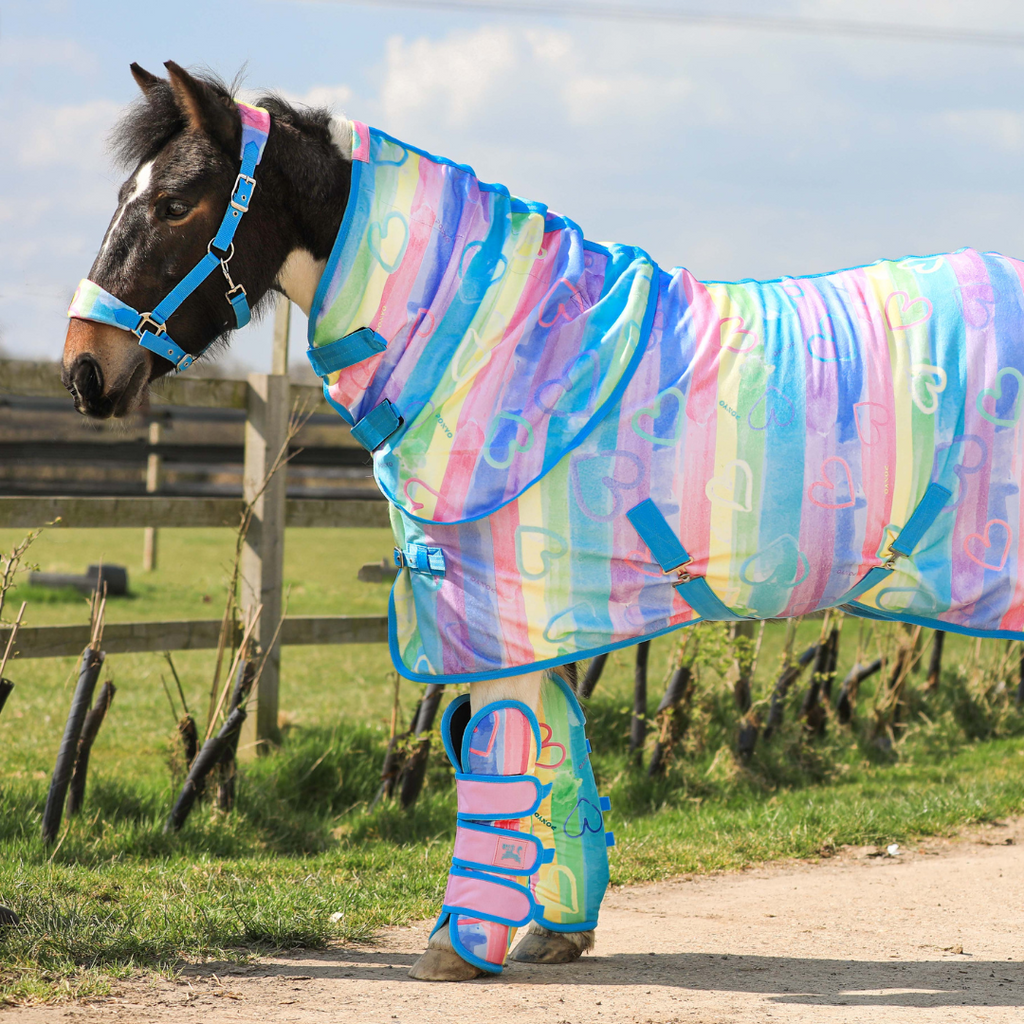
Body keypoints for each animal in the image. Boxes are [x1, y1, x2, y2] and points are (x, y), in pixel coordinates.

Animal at [64, 62, 1024, 981]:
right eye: (121, 196)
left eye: (176, 202)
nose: (84, 369)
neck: (514, 346)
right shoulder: (538, 618)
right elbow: (558, 758)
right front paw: (555, 932)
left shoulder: (503, 608)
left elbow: (501, 755)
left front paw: (459, 946)